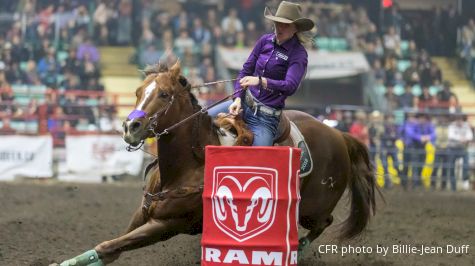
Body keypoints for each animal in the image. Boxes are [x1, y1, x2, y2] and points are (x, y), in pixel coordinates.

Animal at [60, 61, 380, 264]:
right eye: (138, 92)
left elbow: (108, 245)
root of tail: (337, 134)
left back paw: (297, 252)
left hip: (313, 209)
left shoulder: (166, 224)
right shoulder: (143, 213)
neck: (189, 165)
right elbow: (111, 248)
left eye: (163, 94)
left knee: (325, 222)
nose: (131, 127)